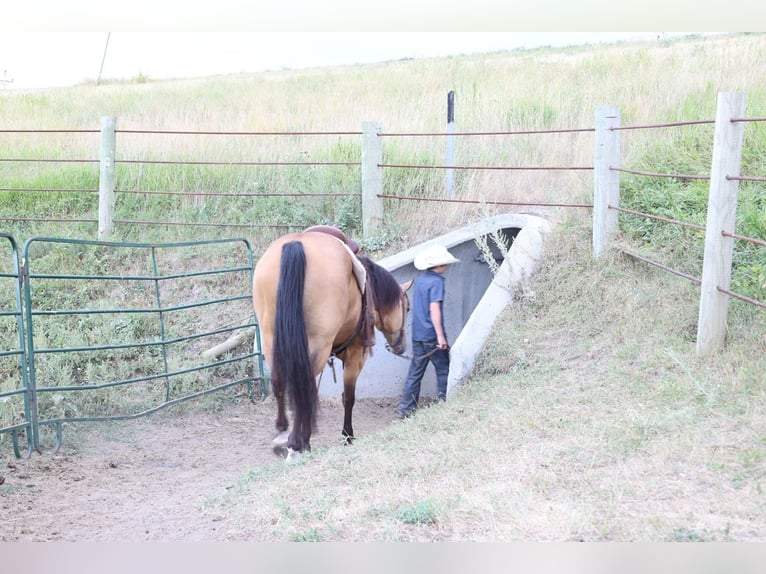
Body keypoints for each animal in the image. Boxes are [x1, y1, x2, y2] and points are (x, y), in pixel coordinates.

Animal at [252, 229, 412, 458]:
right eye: (407, 308)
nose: (401, 345)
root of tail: (295, 244)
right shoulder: (356, 355)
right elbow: (348, 397)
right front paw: (347, 436)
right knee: (303, 386)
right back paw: (296, 443)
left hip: (270, 339)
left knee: (280, 381)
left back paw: (283, 434)